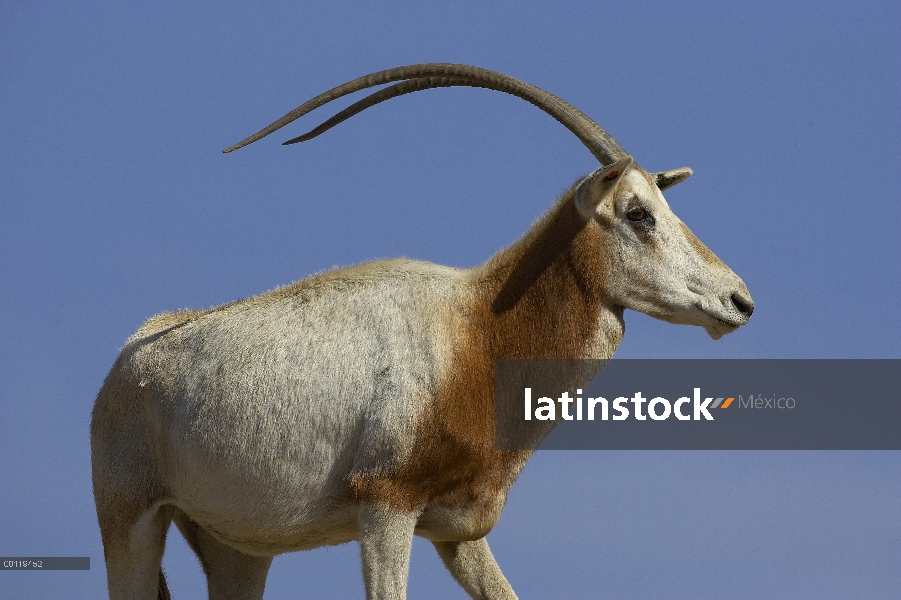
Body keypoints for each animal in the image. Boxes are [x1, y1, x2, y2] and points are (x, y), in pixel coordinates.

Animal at [91, 63, 752, 596]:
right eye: (639, 214)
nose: (738, 300)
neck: (478, 328)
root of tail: (128, 363)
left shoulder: (458, 531)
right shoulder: (386, 509)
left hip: (237, 549)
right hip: (129, 521)